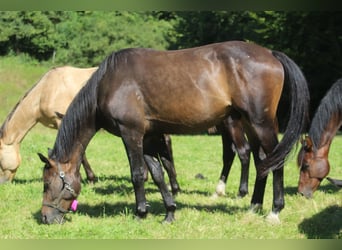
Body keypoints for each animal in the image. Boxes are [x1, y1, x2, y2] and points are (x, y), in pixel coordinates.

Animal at [39, 41, 310, 225]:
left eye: (47, 183)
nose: (45, 217)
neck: (109, 82)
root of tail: (270, 54)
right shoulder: (147, 137)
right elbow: (158, 174)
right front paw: (169, 212)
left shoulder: (131, 134)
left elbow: (138, 174)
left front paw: (140, 213)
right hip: (249, 124)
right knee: (261, 160)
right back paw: (254, 205)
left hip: (260, 123)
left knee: (275, 161)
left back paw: (274, 210)